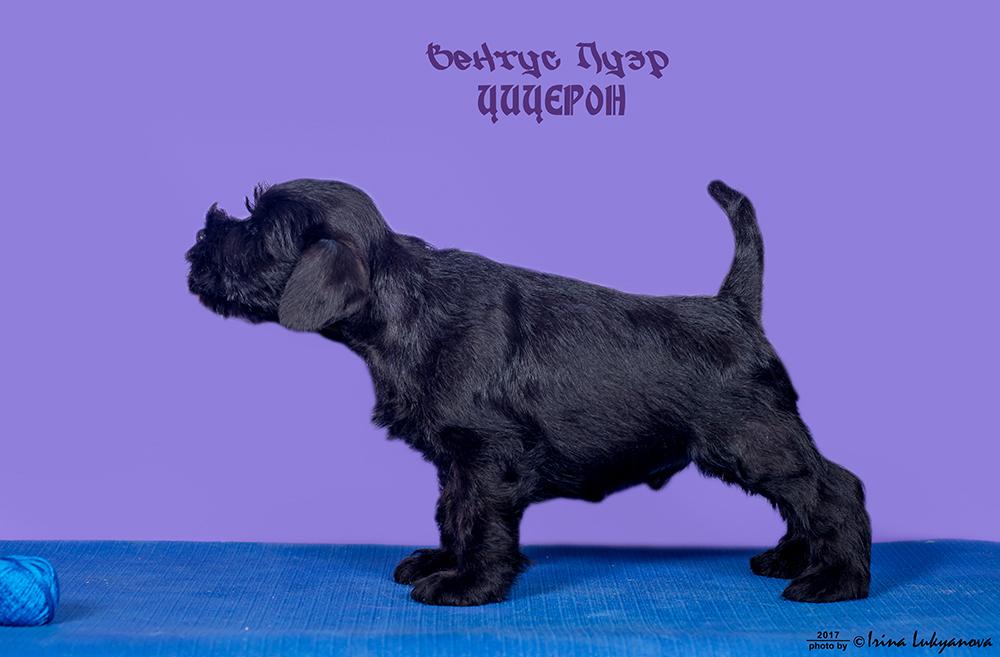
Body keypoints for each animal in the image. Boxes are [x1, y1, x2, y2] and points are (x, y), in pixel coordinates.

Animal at [186, 179, 871, 605]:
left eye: (257, 232)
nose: (197, 243)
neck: (405, 303)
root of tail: (735, 308)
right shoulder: (456, 460)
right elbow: (452, 514)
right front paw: (445, 563)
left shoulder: (488, 456)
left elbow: (481, 520)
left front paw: (469, 586)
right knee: (804, 498)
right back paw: (794, 558)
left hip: (754, 439)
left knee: (833, 488)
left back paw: (834, 579)